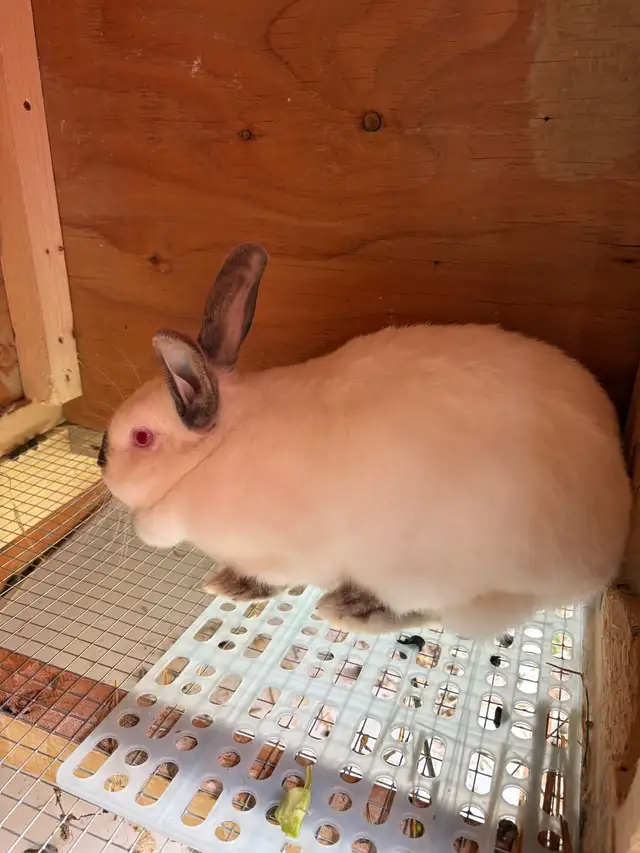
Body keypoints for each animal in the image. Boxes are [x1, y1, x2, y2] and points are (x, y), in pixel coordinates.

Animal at [99, 243, 632, 638]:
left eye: (141, 438)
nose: (100, 458)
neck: (214, 451)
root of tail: (601, 556)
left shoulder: (284, 554)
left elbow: (272, 578)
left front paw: (232, 586)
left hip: (421, 573)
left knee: (428, 611)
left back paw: (348, 610)